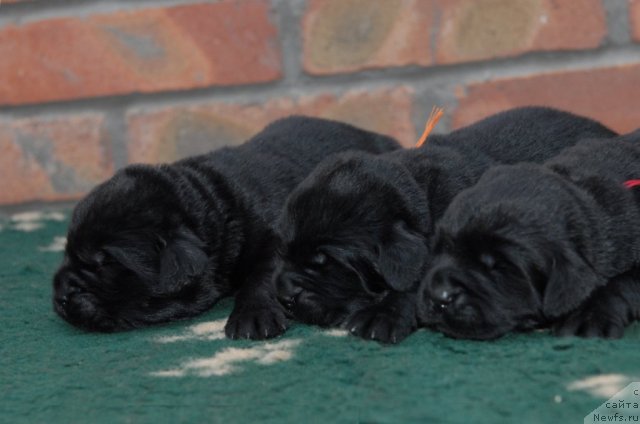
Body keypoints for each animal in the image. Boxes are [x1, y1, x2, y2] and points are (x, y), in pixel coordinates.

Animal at [52, 115, 400, 338]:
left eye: (105, 263)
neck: (213, 202)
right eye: (67, 252)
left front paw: (252, 317)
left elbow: (262, 277)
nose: (60, 295)